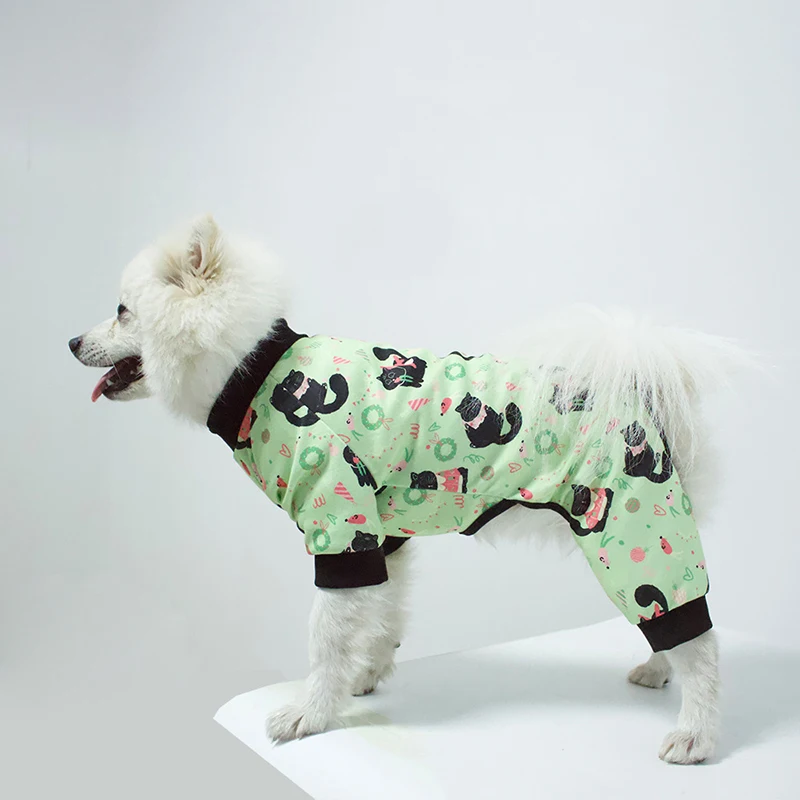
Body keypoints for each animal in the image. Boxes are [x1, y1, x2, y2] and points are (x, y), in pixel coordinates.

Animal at [69, 214, 750, 764]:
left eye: (123, 311)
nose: (72, 341)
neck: (258, 372)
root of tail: (644, 393)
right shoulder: (381, 536)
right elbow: (382, 616)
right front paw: (365, 677)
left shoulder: (339, 530)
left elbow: (326, 636)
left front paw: (312, 713)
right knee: (670, 627)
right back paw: (657, 670)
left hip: (632, 527)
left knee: (698, 638)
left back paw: (696, 733)